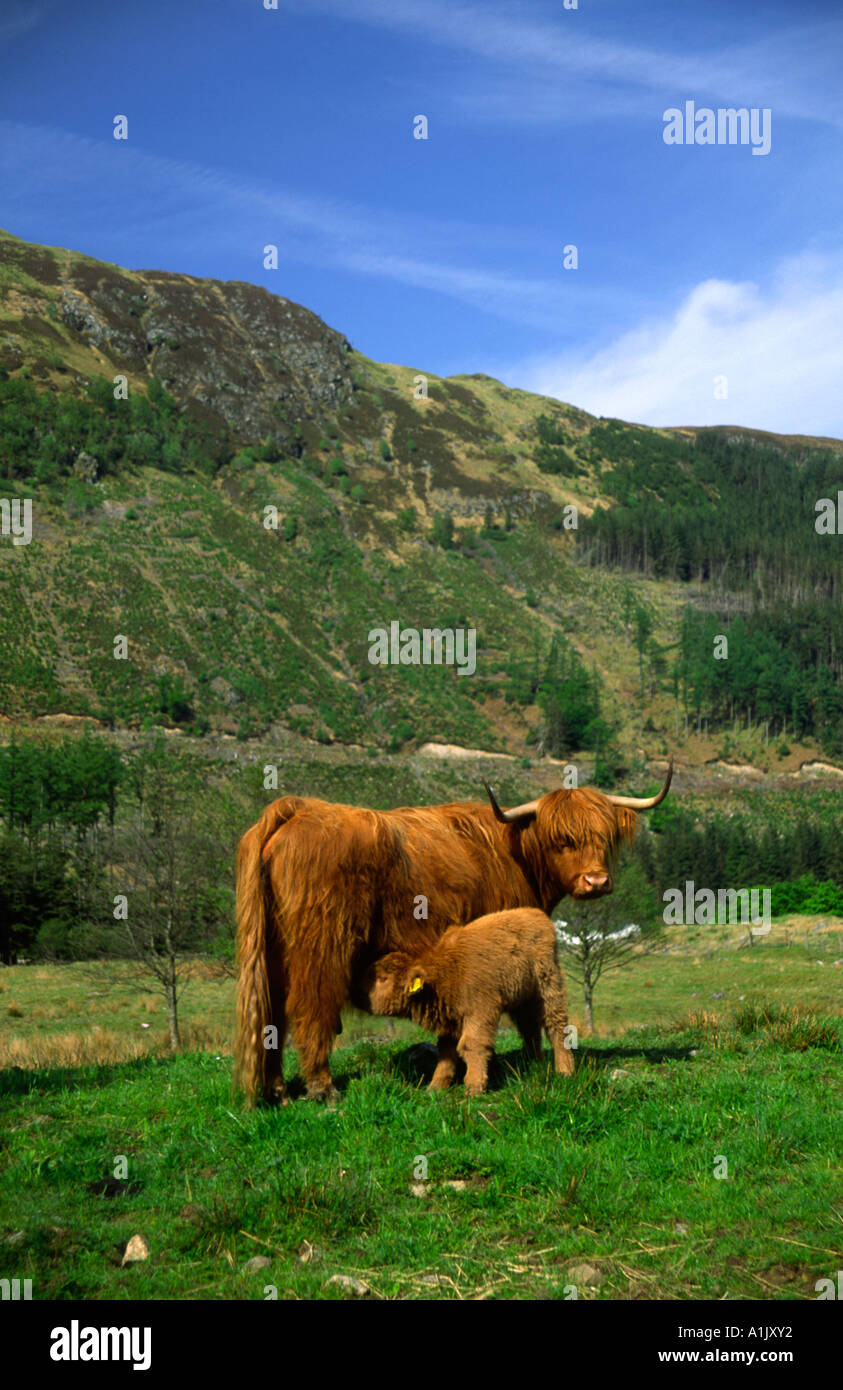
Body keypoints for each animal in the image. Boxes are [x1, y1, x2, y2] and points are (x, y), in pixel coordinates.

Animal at [363, 907, 575, 1095]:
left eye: (382, 978)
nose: (362, 996)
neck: (446, 971)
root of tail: (536, 914)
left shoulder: (480, 1012)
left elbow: (471, 1044)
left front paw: (474, 1087)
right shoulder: (449, 1020)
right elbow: (446, 1051)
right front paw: (436, 1086)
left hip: (548, 987)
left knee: (556, 1026)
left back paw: (565, 1071)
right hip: (523, 999)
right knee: (530, 1030)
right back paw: (534, 1064)